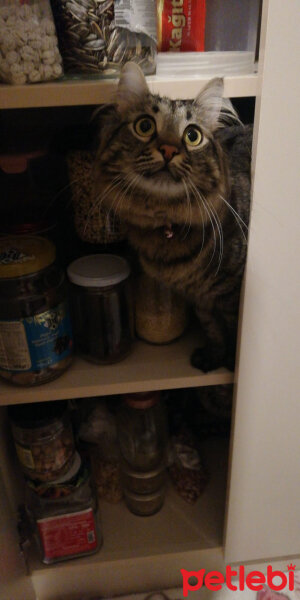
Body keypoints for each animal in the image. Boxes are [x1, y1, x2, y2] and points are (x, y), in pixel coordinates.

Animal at [92, 61, 252, 370]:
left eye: (192, 135)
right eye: (144, 126)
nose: (168, 150)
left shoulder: (231, 295)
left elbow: (233, 330)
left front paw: (230, 364)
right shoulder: (201, 300)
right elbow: (214, 330)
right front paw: (213, 358)